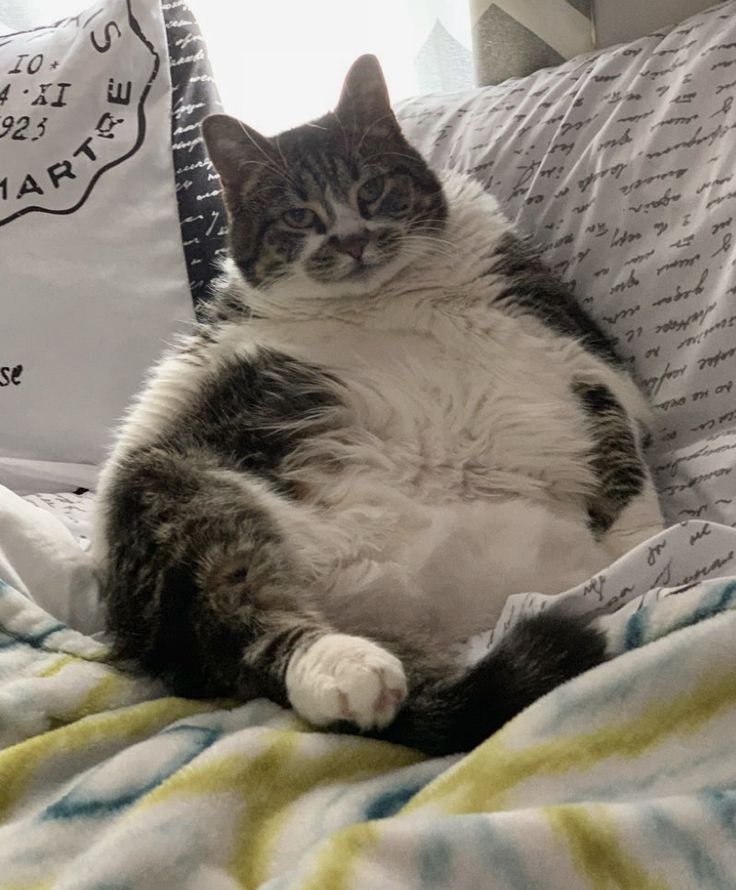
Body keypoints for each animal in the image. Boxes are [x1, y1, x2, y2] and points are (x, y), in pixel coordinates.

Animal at [90, 52, 660, 752]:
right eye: (299, 217)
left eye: (372, 190)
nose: (352, 239)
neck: (384, 299)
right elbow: (624, 460)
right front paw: (652, 550)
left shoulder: (582, 360)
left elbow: (622, 456)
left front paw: (645, 549)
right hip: (172, 494)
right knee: (241, 625)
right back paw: (350, 671)